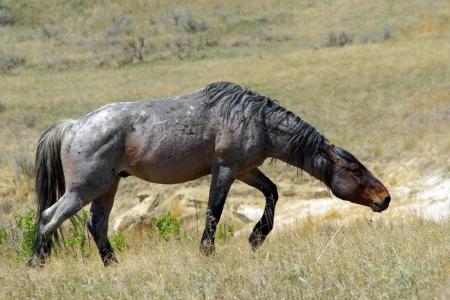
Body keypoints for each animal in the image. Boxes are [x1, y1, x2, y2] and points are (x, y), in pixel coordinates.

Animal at [26, 82, 390, 268]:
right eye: (354, 169)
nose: (385, 198)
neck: (255, 118)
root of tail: (73, 125)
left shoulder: (246, 170)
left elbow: (272, 193)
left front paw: (256, 237)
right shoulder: (226, 169)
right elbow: (214, 211)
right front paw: (207, 252)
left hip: (107, 186)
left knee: (96, 225)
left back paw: (112, 266)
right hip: (84, 189)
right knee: (48, 217)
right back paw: (35, 266)